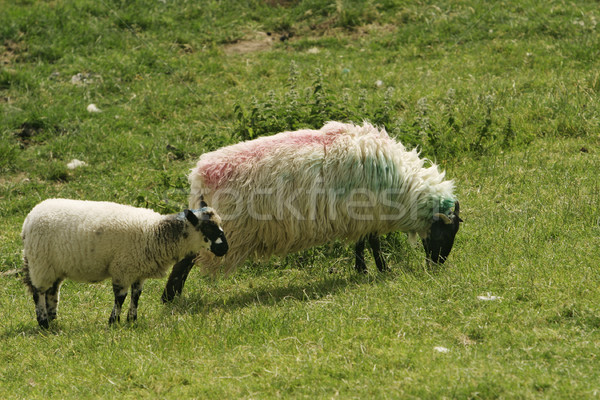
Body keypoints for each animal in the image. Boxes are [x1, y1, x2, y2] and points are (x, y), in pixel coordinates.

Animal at [21, 198, 227, 328]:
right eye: (208, 228)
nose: (224, 248)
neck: (155, 232)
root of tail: (29, 217)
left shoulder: (138, 271)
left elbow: (136, 296)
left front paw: (132, 320)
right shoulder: (123, 269)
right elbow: (120, 297)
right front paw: (114, 322)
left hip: (53, 266)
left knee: (52, 291)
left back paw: (53, 319)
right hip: (40, 262)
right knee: (38, 292)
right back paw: (43, 322)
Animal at [162, 120, 462, 302]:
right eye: (446, 232)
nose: (437, 265)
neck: (405, 185)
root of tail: (201, 176)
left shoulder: (363, 217)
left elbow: (363, 243)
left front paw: (363, 269)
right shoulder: (368, 212)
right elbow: (373, 242)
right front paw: (380, 269)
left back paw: (171, 297)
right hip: (224, 232)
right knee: (186, 258)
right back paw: (170, 298)